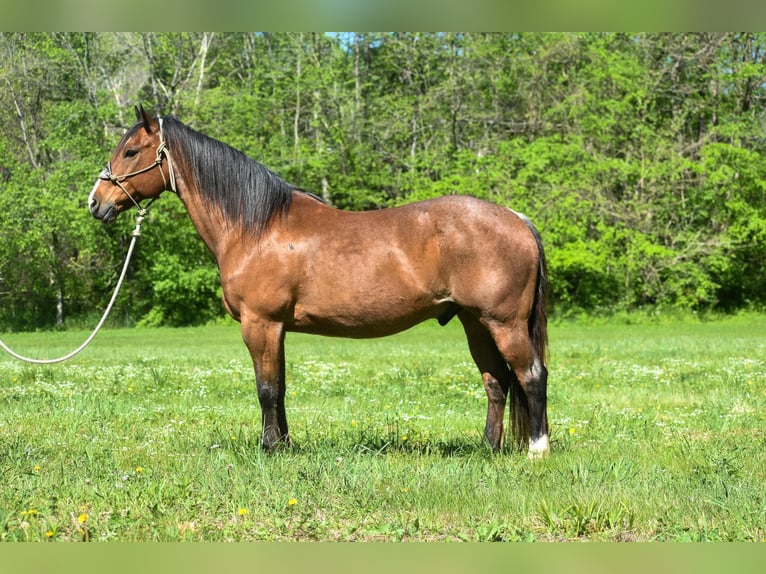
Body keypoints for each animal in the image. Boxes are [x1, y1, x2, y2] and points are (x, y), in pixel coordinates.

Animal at [88, 106, 552, 460]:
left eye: (131, 151)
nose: (96, 202)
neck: (257, 227)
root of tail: (517, 220)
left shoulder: (260, 324)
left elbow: (266, 388)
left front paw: (269, 449)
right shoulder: (276, 329)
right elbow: (280, 388)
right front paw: (285, 445)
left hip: (504, 323)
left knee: (531, 375)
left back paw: (537, 449)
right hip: (475, 323)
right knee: (496, 381)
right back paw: (488, 448)